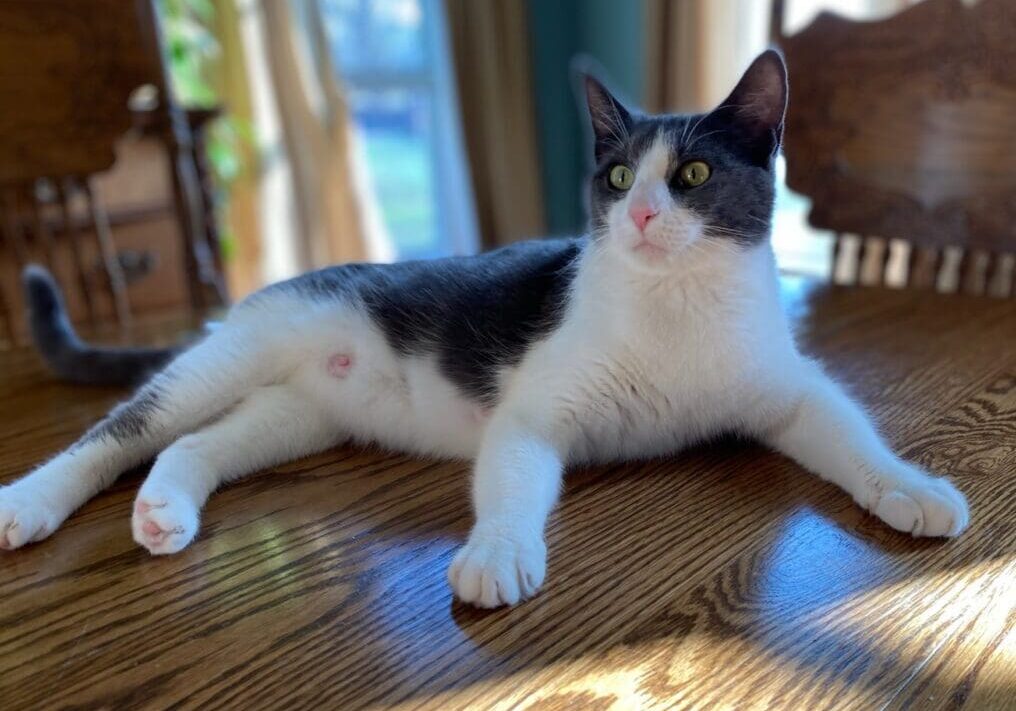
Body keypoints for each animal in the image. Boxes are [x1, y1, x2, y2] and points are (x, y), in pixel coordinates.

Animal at [0, 51, 967, 605]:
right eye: (619, 177)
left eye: (692, 174)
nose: (641, 215)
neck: (676, 306)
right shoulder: (535, 409)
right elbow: (512, 480)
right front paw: (498, 552)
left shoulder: (786, 384)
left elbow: (846, 428)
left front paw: (911, 486)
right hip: (240, 352)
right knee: (124, 429)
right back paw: (28, 501)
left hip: (297, 415)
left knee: (194, 444)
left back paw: (165, 509)